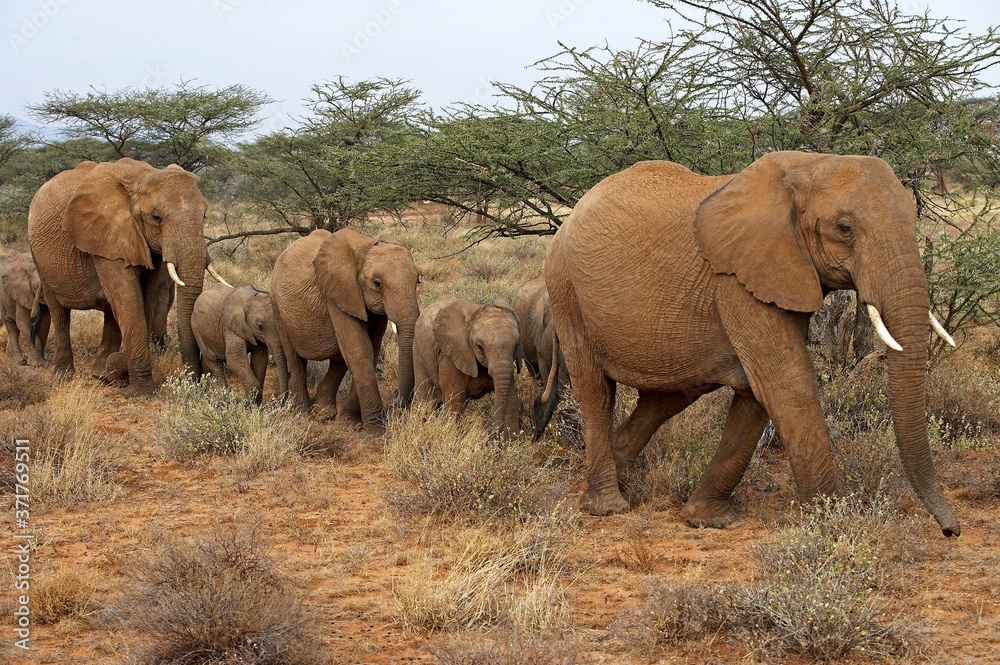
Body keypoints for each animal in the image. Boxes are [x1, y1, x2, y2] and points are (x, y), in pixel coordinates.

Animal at [27, 158, 226, 395]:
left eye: (204, 216)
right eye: (156, 218)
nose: (196, 381)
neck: (143, 176)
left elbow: (145, 298)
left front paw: (116, 370)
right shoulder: (108, 236)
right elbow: (130, 299)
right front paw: (142, 392)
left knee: (111, 312)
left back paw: (101, 373)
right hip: (39, 257)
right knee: (59, 311)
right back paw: (64, 377)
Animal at [270, 228, 420, 432]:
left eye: (418, 281)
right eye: (377, 284)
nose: (396, 397)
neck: (366, 247)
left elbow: (371, 350)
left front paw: (349, 423)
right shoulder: (338, 292)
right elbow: (359, 350)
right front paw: (377, 432)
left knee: (338, 360)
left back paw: (324, 414)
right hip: (277, 306)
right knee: (295, 359)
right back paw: (304, 418)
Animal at [414, 295, 524, 436]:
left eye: (516, 345)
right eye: (480, 347)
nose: (492, 435)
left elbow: (512, 401)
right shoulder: (450, 355)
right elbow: (456, 401)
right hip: (419, 354)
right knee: (424, 401)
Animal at [545, 151, 961, 537]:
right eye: (844, 228)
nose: (950, 531)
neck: (808, 165)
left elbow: (755, 390)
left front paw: (707, 520)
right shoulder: (738, 281)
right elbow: (784, 383)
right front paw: (834, 520)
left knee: (670, 396)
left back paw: (624, 474)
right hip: (565, 287)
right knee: (595, 390)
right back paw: (608, 506)